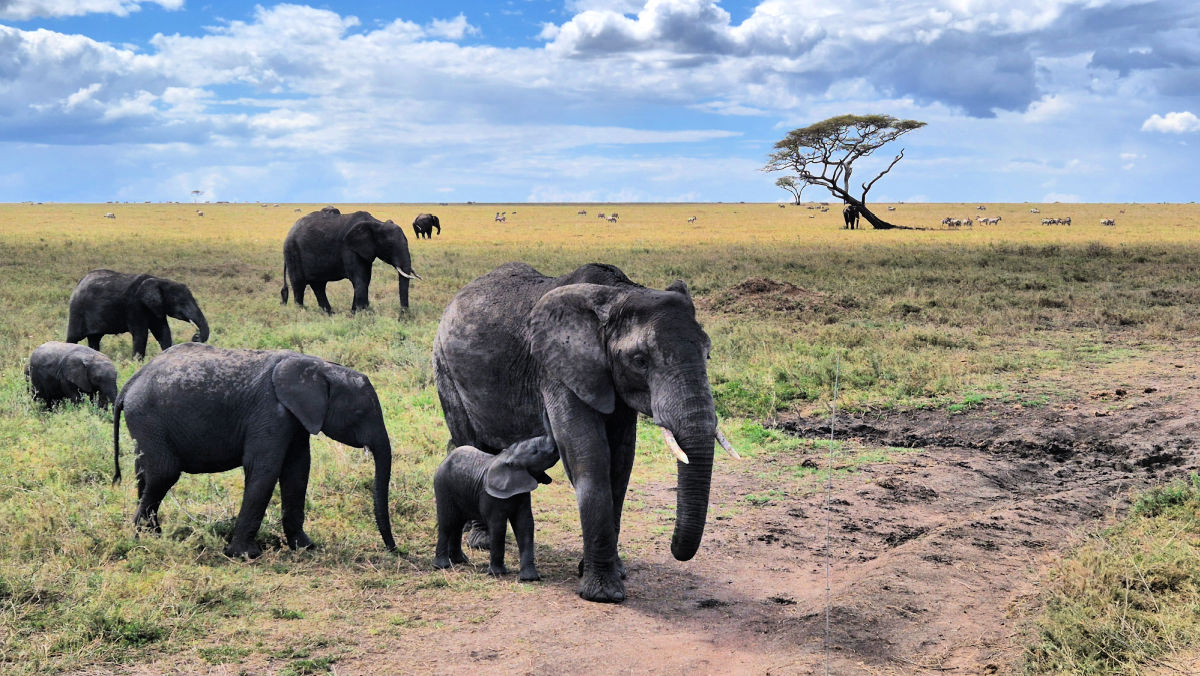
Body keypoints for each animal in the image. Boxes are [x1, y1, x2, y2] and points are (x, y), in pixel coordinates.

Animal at [67, 269, 210, 360]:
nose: (195, 336)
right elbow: (141, 334)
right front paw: (137, 364)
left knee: (95, 339)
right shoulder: (134, 306)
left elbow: (163, 331)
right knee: (73, 337)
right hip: (77, 310)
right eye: (181, 302)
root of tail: (79, 283)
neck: (159, 281)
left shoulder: (156, 308)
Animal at [112, 343, 396, 558]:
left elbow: (298, 470)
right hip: (148, 418)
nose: (394, 550)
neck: (321, 367)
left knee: (144, 474)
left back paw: (154, 536)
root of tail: (129, 384)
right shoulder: (270, 411)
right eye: (359, 413)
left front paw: (306, 548)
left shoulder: (295, 418)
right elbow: (265, 469)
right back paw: (144, 541)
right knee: (164, 474)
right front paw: (245, 555)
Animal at [280, 207, 420, 314]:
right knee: (299, 284)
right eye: (390, 246)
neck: (376, 223)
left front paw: (354, 313)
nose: (402, 316)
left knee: (318, 285)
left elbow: (365, 279)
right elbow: (360, 279)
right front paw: (364, 314)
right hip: (292, 251)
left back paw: (329, 314)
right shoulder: (349, 249)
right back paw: (300, 313)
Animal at [433, 420, 559, 581]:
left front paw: (529, 578)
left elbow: (525, 525)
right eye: (535, 451)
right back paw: (442, 566)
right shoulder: (490, 496)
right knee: (447, 522)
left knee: (457, 524)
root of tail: (445, 460)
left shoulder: (522, 494)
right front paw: (497, 573)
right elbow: (498, 526)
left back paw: (461, 560)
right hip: (443, 486)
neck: (508, 456)